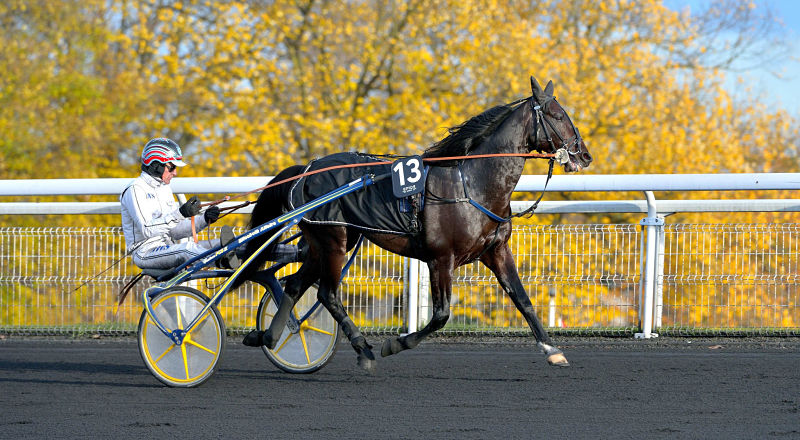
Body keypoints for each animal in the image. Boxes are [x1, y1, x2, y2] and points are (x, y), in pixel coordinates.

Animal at [241, 76, 592, 372]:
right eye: (558, 115)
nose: (584, 155)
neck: (472, 184)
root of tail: (306, 169)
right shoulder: (441, 259)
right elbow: (441, 316)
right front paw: (394, 344)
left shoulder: (496, 252)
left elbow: (523, 300)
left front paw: (552, 350)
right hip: (333, 240)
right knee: (327, 293)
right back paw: (363, 349)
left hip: (326, 241)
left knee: (295, 284)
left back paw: (268, 336)